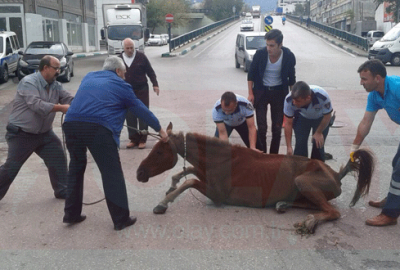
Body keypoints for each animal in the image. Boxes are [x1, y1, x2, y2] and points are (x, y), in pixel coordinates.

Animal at [138, 123, 376, 234]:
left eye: (159, 152)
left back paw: (310, 221)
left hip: (303, 182)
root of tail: (336, 175)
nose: (139, 173)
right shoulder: (205, 175)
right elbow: (188, 172)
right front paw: (171, 185)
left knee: (332, 211)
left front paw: (163, 203)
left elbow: (190, 181)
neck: (221, 159)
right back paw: (283, 204)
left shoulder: (217, 195)